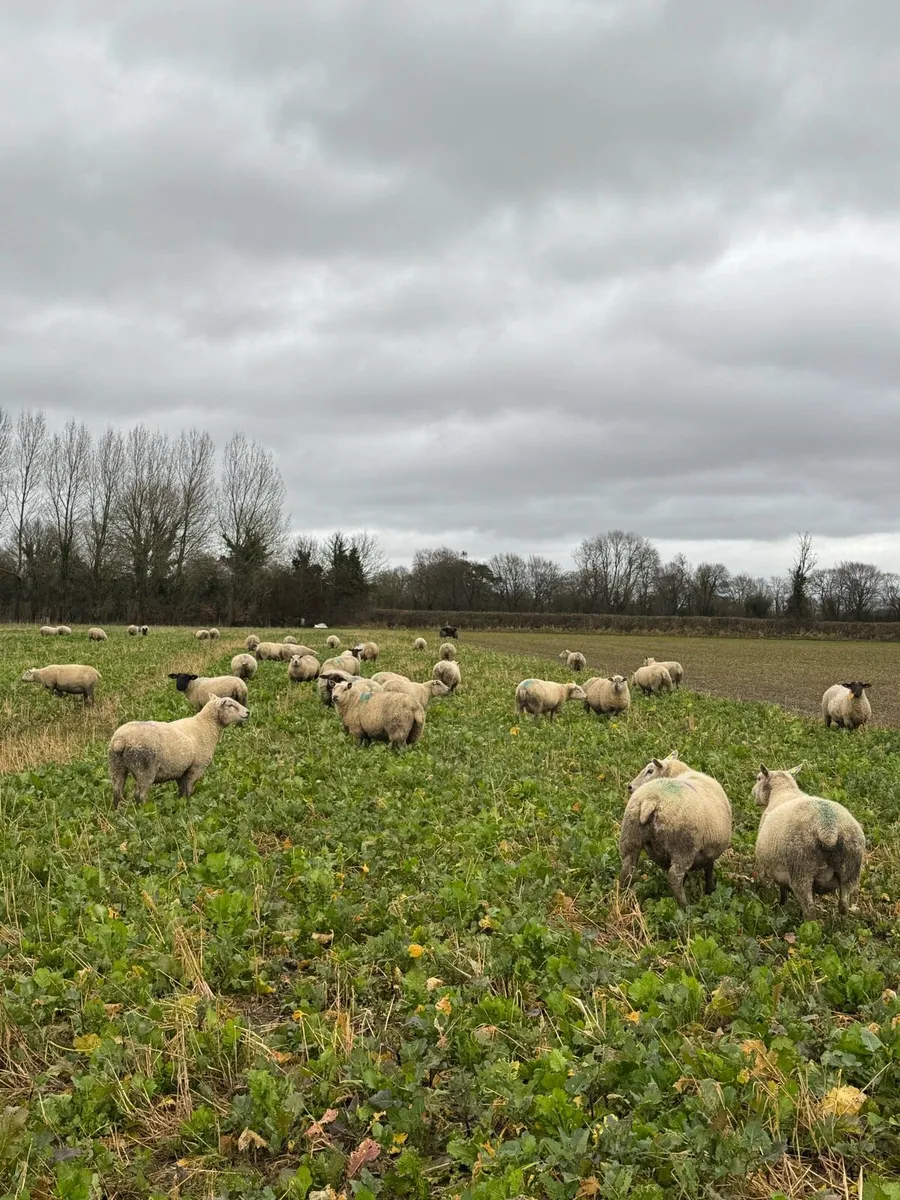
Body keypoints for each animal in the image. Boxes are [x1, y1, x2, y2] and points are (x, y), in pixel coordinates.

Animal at [108, 695, 248, 804]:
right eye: (230, 705)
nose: (248, 712)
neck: (206, 726)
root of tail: (121, 740)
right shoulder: (196, 768)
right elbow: (188, 790)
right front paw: (187, 806)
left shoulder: (181, 770)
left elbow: (182, 791)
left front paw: (180, 805)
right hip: (144, 768)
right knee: (139, 795)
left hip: (116, 765)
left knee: (117, 792)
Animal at [620, 752, 732, 906]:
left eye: (650, 771)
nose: (630, 786)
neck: (680, 773)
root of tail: (651, 801)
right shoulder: (709, 852)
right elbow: (709, 870)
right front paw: (710, 890)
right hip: (683, 845)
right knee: (675, 876)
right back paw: (685, 906)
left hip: (630, 836)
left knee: (627, 869)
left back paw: (623, 897)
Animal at [752, 765, 866, 920]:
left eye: (758, 778)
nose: (753, 794)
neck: (783, 791)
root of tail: (828, 827)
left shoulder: (770, 867)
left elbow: (780, 890)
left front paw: (780, 905)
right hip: (851, 869)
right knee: (844, 905)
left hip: (801, 869)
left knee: (810, 910)